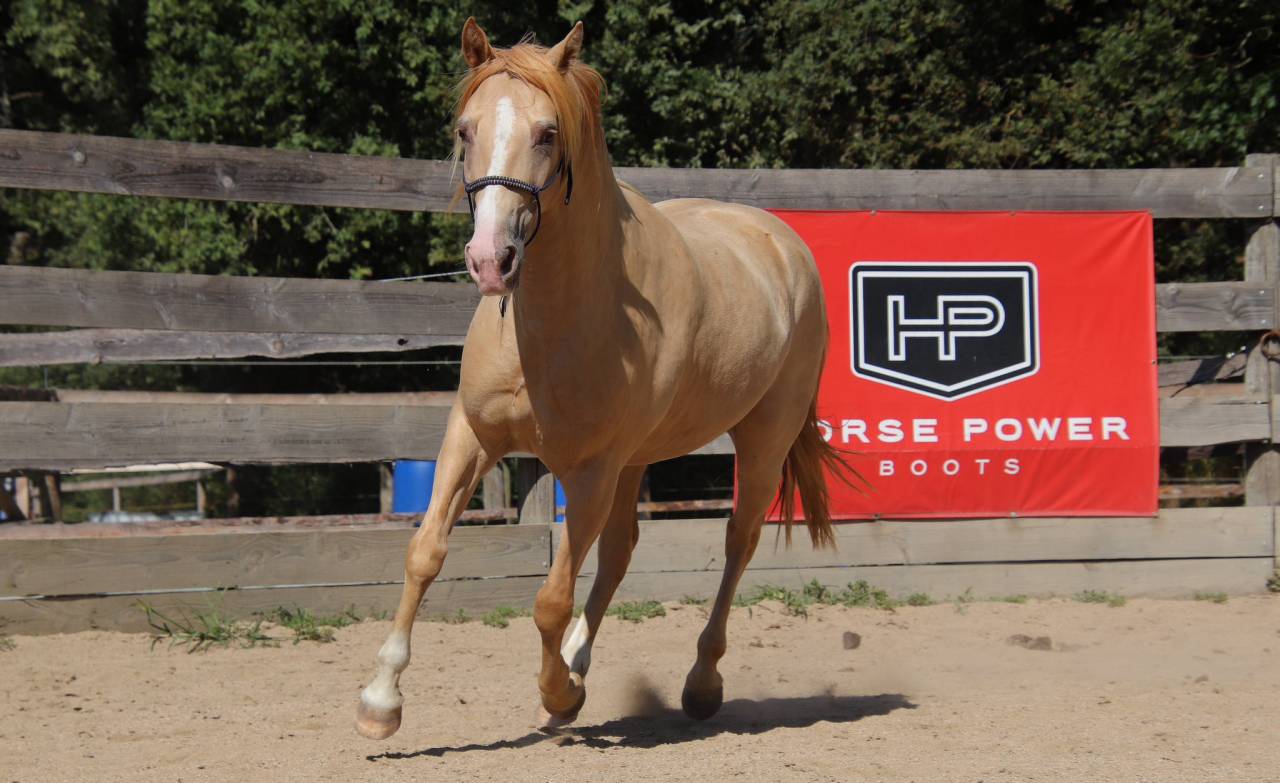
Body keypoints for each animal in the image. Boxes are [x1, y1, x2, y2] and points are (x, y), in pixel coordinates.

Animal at [355, 18, 853, 740]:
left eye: (547, 133)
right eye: (465, 130)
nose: (490, 261)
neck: (554, 324)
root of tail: (783, 244)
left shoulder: (588, 471)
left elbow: (550, 597)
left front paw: (559, 692)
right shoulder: (473, 437)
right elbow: (426, 551)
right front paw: (380, 700)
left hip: (760, 441)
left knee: (737, 540)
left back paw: (697, 683)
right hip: (635, 461)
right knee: (621, 550)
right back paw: (581, 666)